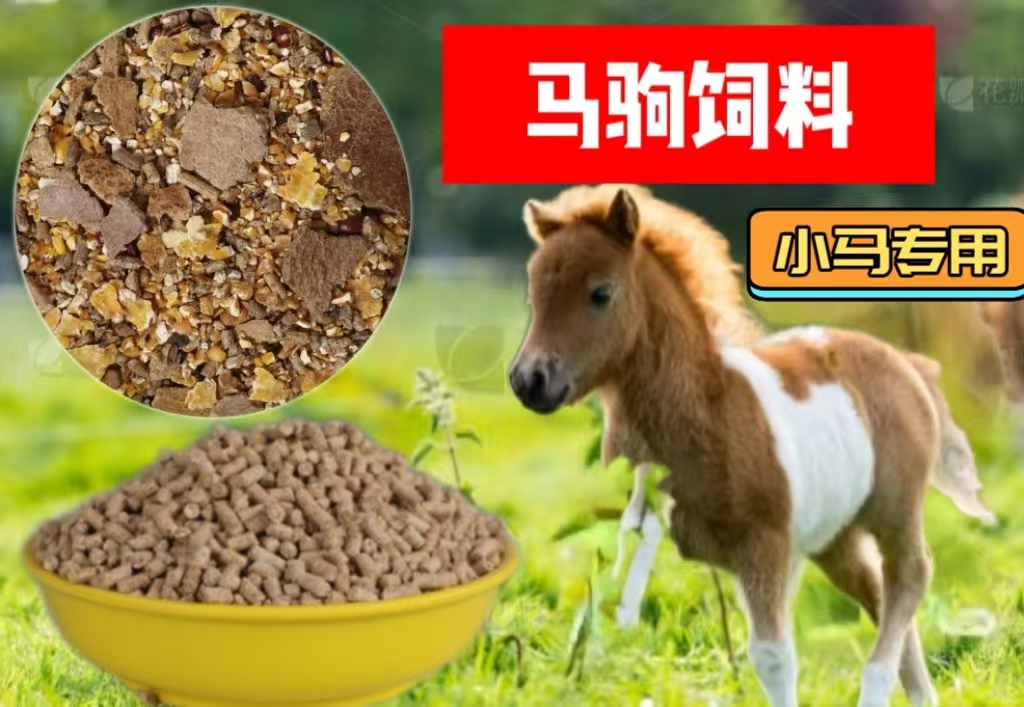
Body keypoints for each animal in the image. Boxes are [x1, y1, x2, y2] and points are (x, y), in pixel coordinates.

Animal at [509, 187, 996, 707]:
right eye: (534, 292)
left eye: (601, 293)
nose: (529, 380)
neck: (708, 409)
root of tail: (906, 363)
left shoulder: (764, 547)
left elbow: (773, 658)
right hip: (835, 537)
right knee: (877, 590)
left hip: (894, 511)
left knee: (909, 577)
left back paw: (877, 683)